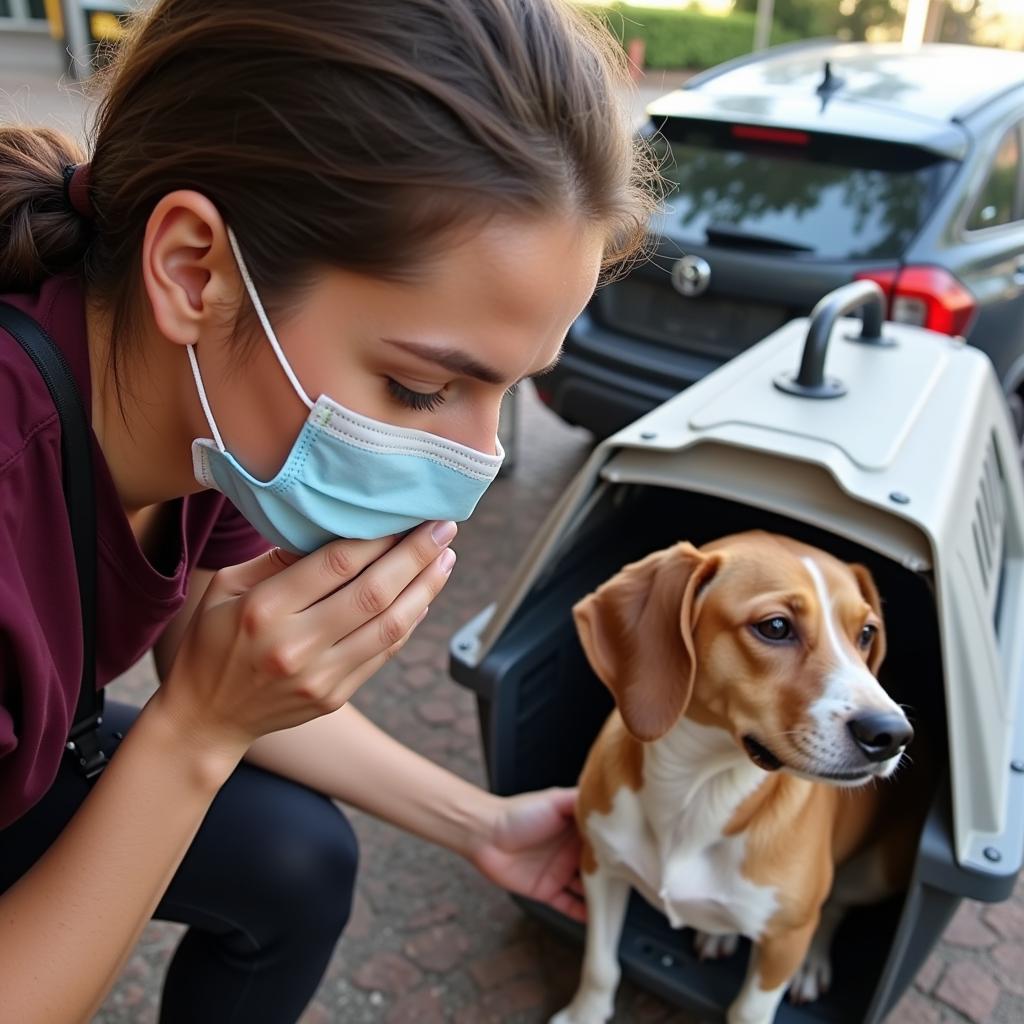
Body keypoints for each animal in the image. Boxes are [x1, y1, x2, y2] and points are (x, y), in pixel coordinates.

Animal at [552, 532, 921, 1024]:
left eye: (866, 634)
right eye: (776, 627)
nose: (892, 734)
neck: (699, 789)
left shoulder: (785, 939)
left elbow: (749, 1010)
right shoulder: (599, 867)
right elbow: (600, 965)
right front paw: (584, 1014)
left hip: (880, 870)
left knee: (836, 906)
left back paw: (810, 965)